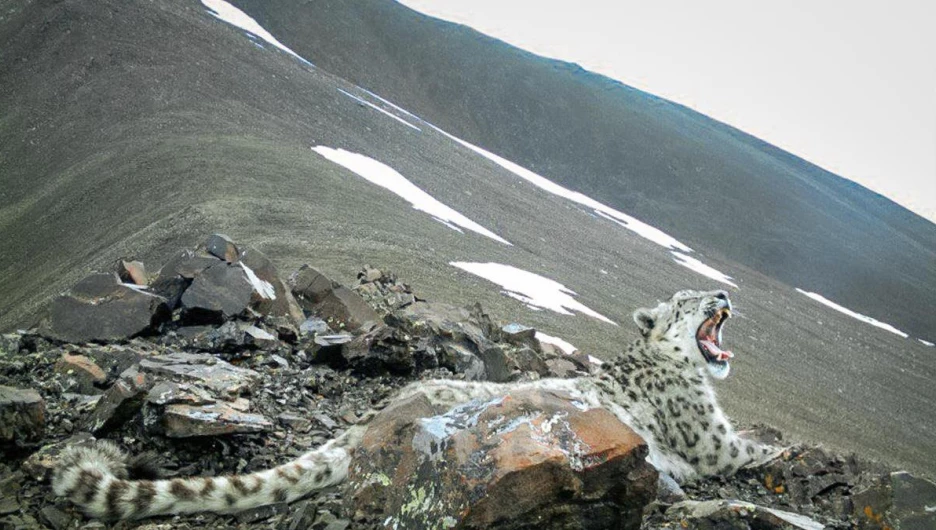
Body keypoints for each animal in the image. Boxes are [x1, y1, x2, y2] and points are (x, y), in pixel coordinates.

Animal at [53, 288, 784, 516]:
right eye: (689, 300)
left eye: (706, 293)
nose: (723, 292)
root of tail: (373, 416)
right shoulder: (711, 442)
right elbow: (751, 448)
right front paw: (789, 447)